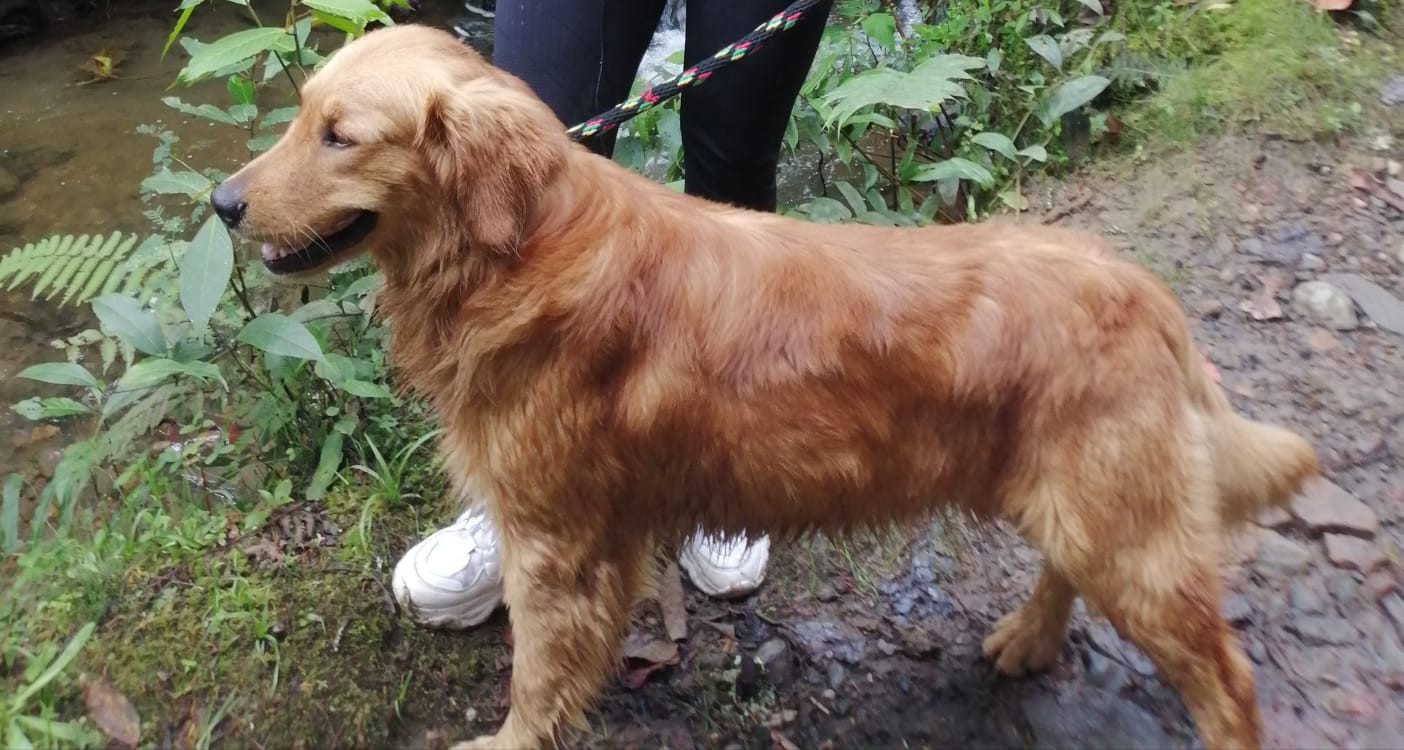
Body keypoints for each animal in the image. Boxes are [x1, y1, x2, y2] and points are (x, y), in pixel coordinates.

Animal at [211, 24, 1318, 750]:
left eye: (341, 135)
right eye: (300, 115)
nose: (221, 201)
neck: (524, 249)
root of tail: (1145, 290)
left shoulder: (557, 546)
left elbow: (535, 679)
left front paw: (511, 740)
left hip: (1130, 535)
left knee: (1228, 679)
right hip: (1084, 506)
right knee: (1066, 571)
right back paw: (1029, 639)